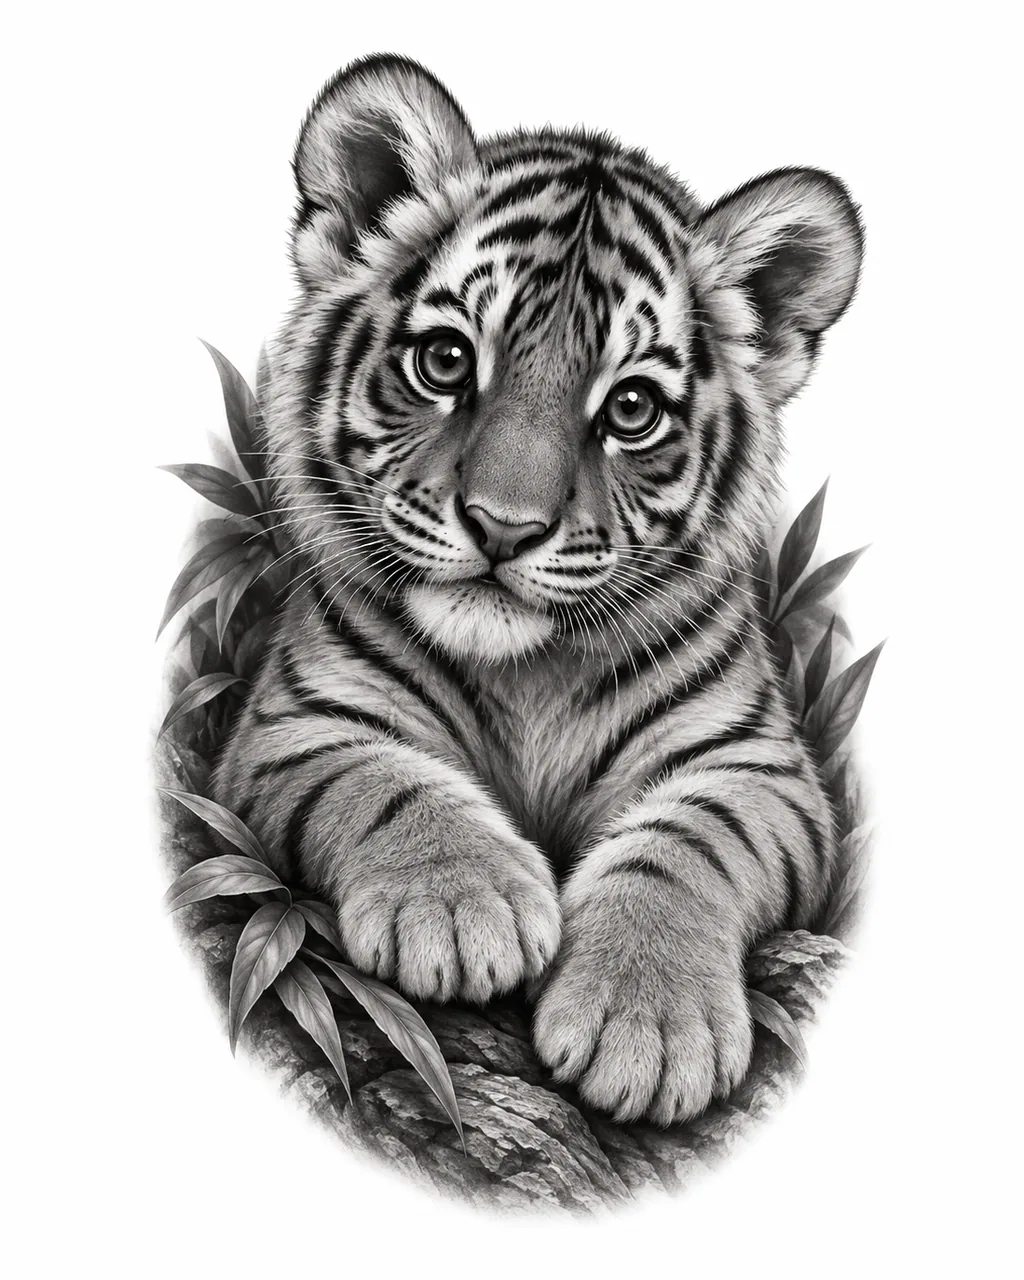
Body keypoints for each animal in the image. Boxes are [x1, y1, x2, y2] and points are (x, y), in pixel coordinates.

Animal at [212, 53, 863, 1127]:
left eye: (631, 410)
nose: (504, 528)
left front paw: (648, 1021)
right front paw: (458, 904)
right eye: (445, 360)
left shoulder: (760, 767)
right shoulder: (296, 723)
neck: (527, 673)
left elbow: (690, 838)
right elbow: (385, 781)